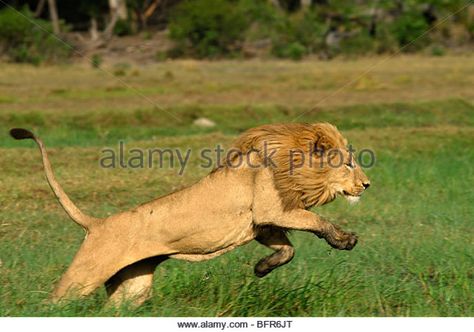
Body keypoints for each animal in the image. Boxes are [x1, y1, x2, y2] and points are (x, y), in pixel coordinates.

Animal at [8, 123, 370, 308]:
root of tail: (96, 223)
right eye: (349, 163)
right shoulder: (273, 209)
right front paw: (345, 240)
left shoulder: (263, 224)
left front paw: (261, 269)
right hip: (84, 277)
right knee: (52, 304)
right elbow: (316, 222)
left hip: (133, 288)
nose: (367, 184)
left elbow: (287, 250)